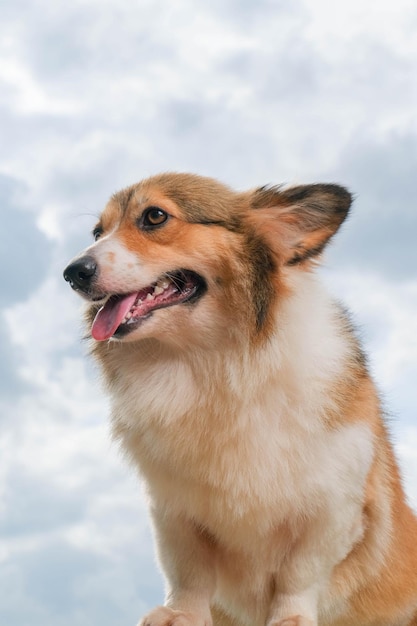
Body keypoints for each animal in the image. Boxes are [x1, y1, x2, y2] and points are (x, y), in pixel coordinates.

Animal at [63, 172, 416, 624]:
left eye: (155, 216)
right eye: (97, 232)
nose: (73, 272)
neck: (213, 362)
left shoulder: (332, 510)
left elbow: (299, 574)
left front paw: (291, 619)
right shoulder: (173, 509)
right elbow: (189, 571)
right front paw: (180, 615)